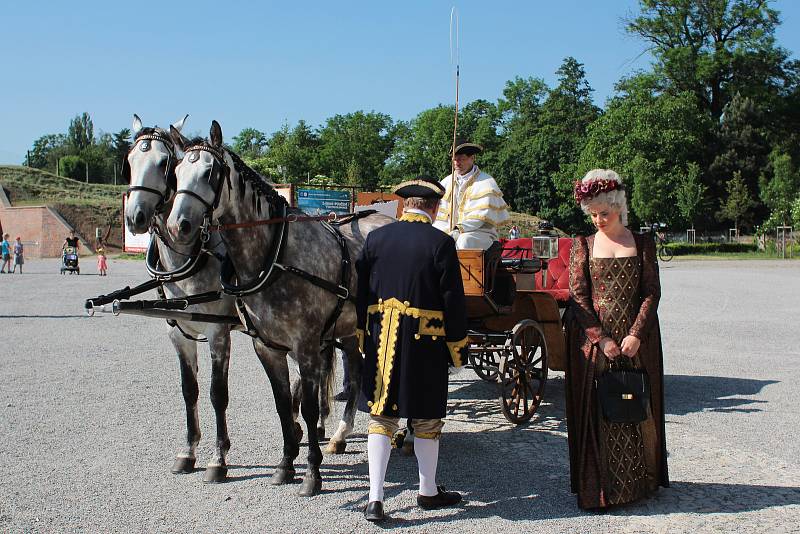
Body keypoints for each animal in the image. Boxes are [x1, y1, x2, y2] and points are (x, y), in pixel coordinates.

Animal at [165, 121, 390, 498]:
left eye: (210, 172)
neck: (275, 255)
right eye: (177, 173)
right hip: (348, 330)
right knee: (357, 373)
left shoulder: (306, 345)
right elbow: (284, 404)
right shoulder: (267, 347)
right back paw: (341, 435)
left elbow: (309, 406)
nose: (178, 225)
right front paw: (286, 464)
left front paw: (312, 472)